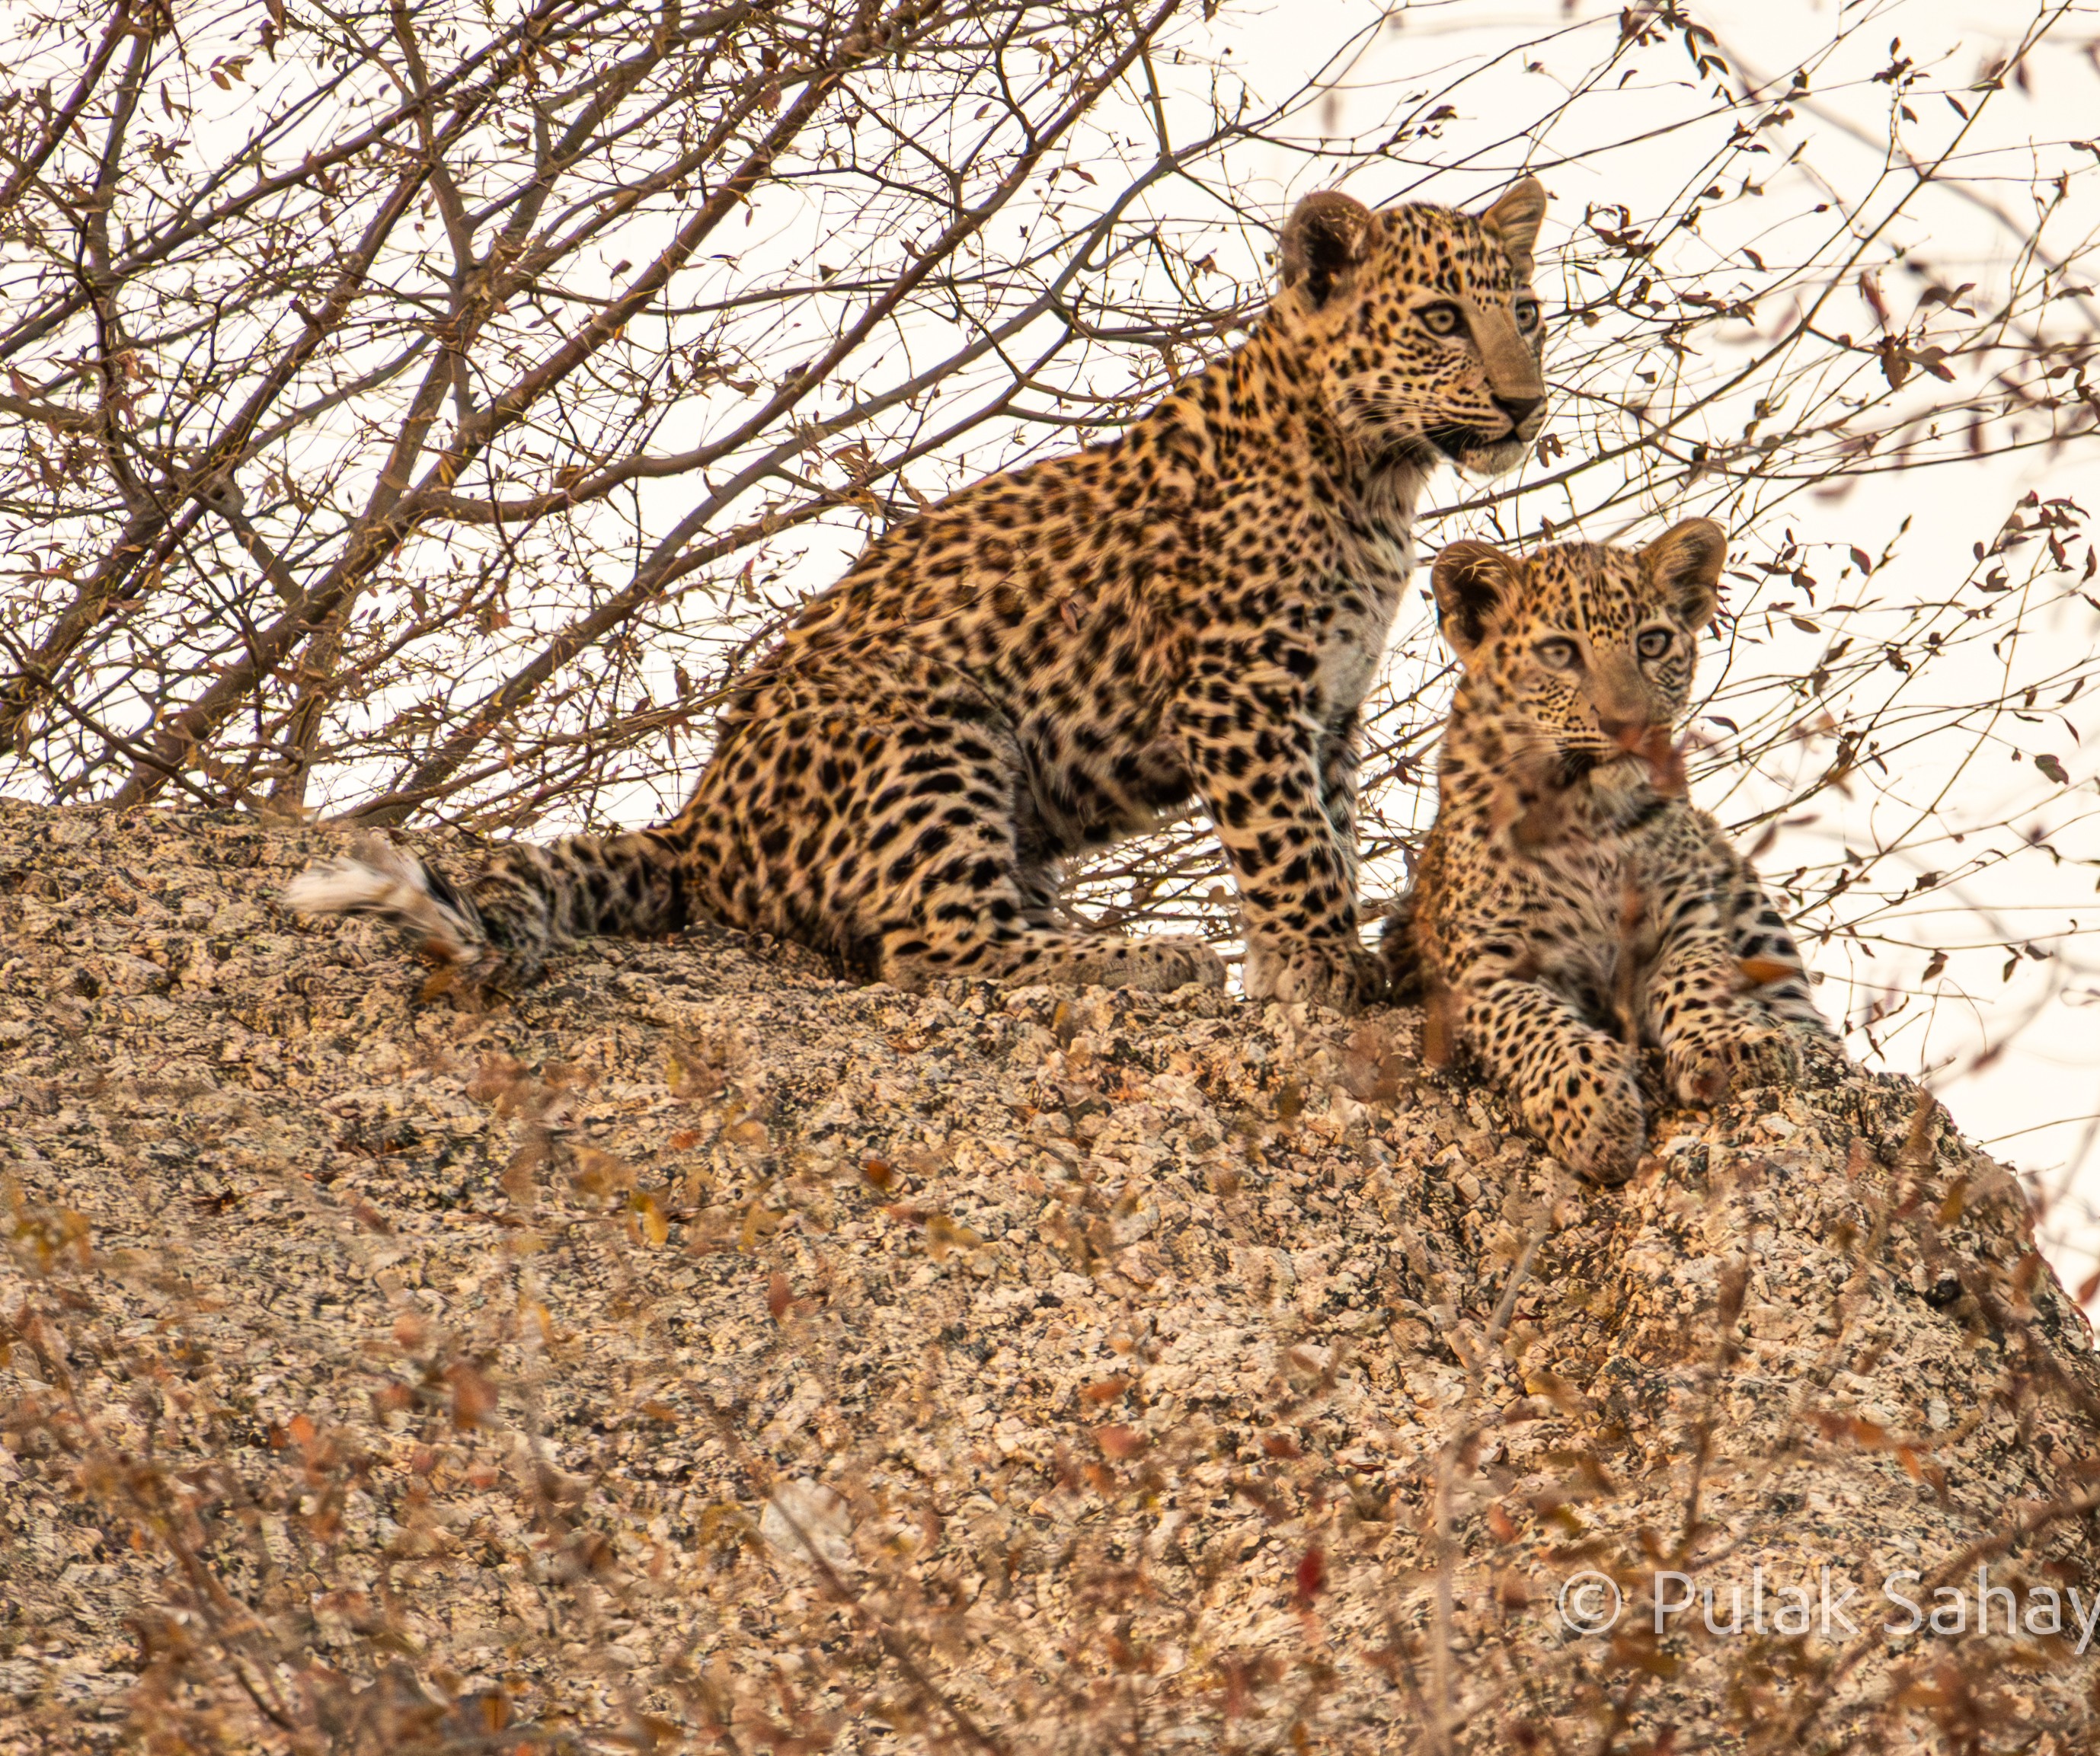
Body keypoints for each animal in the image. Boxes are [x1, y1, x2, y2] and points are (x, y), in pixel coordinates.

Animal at [288, 179, 1552, 1010]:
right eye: (1442, 319)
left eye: (1527, 314)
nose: (1526, 403)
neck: (1375, 475)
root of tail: (697, 825)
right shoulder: (1241, 687)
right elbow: (1294, 847)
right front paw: (1324, 967)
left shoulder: (1327, 704)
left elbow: (1329, 826)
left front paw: (1323, 965)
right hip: (928, 717)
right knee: (937, 947)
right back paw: (1136, 956)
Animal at [1380, 520, 1833, 1185]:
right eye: (1558, 653)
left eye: (1651, 643)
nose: (1630, 725)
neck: (1587, 814)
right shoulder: (1480, 971)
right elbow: (1535, 1023)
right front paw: (1592, 1111)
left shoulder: (1686, 921)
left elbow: (1698, 977)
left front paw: (1728, 1041)